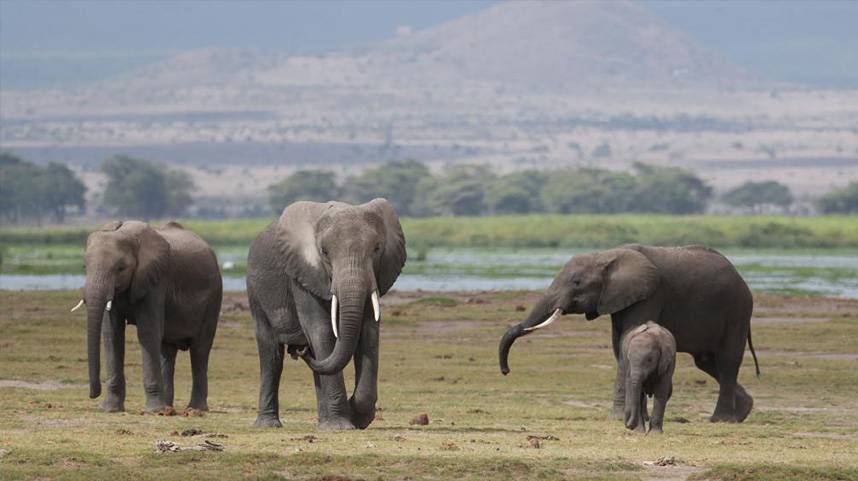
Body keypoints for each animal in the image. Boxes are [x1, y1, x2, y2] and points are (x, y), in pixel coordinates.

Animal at [70, 221, 222, 412]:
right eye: (85, 267)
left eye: (121, 268)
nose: (93, 394)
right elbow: (112, 335)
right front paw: (110, 410)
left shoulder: (155, 281)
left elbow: (148, 333)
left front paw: (153, 411)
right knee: (167, 351)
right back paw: (168, 408)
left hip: (213, 298)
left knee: (199, 350)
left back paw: (194, 409)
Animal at [246, 197, 406, 430]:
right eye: (324, 252)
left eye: (377, 248)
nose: (300, 350)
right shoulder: (302, 275)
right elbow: (321, 330)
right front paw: (341, 426)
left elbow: (369, 333)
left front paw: (355, 417)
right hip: (256, 294)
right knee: (271, 356)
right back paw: (269, 425)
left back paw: (323, 421)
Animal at [498, 246, 760, 422]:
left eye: (577, 282)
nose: (506, 371)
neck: (607, 256)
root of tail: (742, 279)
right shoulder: (618, 298)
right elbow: (619, 345)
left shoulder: (650, 294)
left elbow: (627, 338)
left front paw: (618, 418)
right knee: (707, 362)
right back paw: (743, 411)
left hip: (736, 310)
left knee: (727, 361)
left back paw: (721, 420)